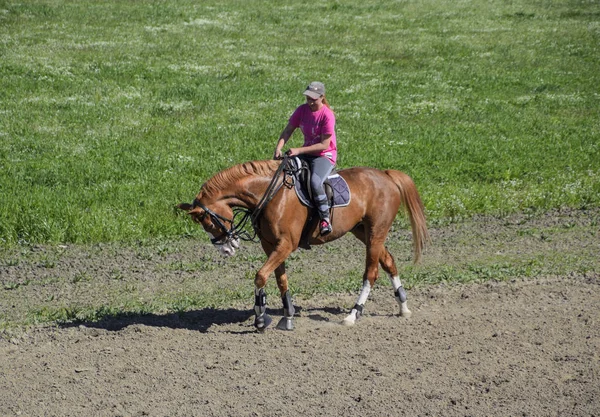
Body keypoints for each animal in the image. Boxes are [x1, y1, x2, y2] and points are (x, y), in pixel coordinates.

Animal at [177, 159, 426, 332]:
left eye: (210, 222)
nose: (226, 249)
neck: (271, 195)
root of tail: (386, 175)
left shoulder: (286, 244)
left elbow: (260, 276)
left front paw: (260, 318)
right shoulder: (271, 245)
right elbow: (280, 280)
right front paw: (287, 317)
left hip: (375, 232)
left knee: (371, 273)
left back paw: (353, 315)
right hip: (364, 232)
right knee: (388, 261)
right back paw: (403, 307)